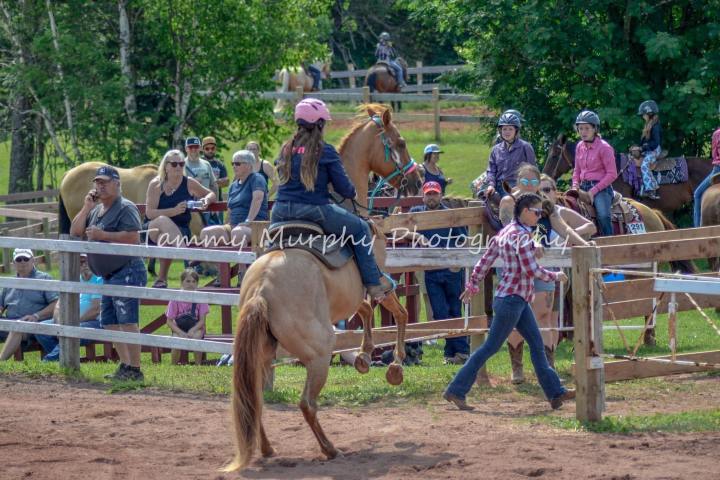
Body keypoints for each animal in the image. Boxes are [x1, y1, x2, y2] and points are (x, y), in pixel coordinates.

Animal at [225, 104, 421, 471]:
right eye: (400, 142)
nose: (416, 180)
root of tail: (261, 290)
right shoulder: (378, 280)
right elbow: (399, 313)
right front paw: (395, 364)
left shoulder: (348, 297)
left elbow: (365, 311)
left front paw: (364, 356)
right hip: (317, 354)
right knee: (307, 404)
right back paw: (330, 449)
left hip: (261, 354)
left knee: (252, 398)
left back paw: (267, 448)